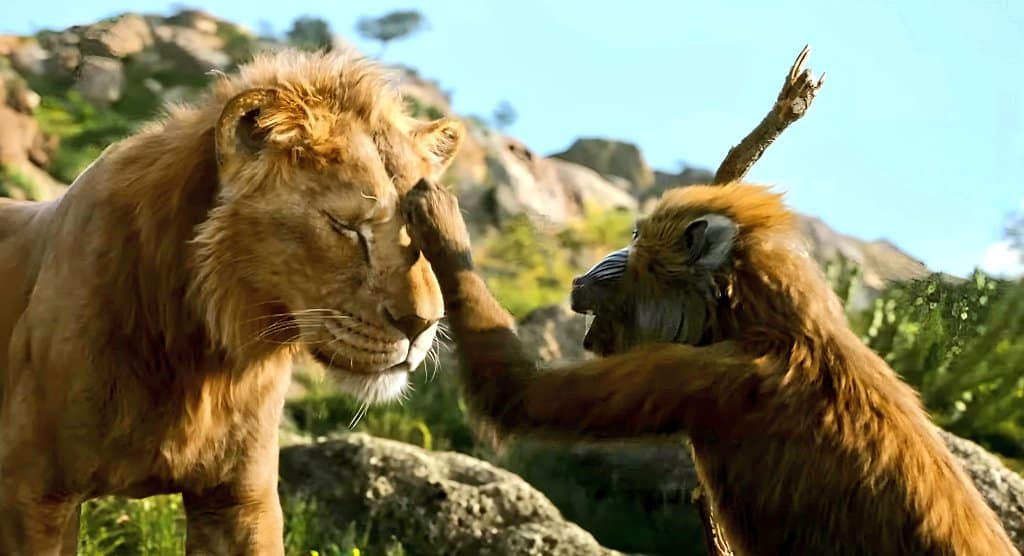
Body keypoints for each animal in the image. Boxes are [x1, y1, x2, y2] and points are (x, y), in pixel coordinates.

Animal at [0, 49, 463, 555]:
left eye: (424, 228)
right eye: (345, 225)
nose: (422, 325)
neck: (200, 355)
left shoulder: (241, 501)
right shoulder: (36, 494)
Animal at [400, 179, 1019, 555]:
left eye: (635, 238)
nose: (590, 271)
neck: (778, 324)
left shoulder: (711, 373)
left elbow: (520, 394)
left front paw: (443, 233)